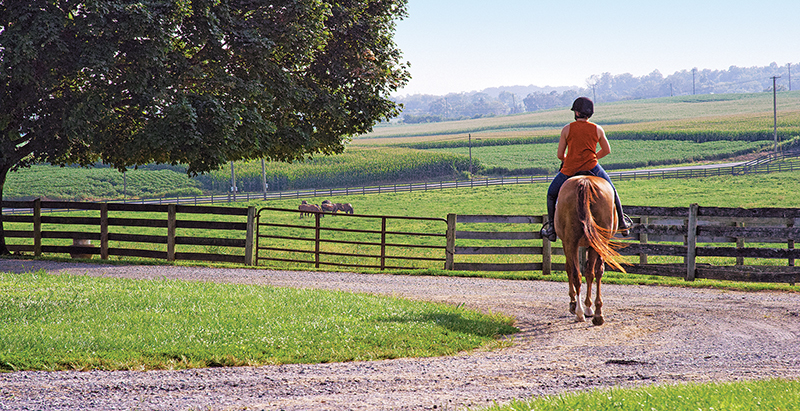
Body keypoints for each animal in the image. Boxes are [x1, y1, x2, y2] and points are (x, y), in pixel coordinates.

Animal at [554, 175, 626, 326]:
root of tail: (585, 181)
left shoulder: (568, 243)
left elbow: (572, 269)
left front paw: (574, 303)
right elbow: (591, 271)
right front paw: (588, 306)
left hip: (573, 242)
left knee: (578, 274)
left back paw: (580, 312)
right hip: (598, 242)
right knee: (595, 272)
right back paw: (595, 313)